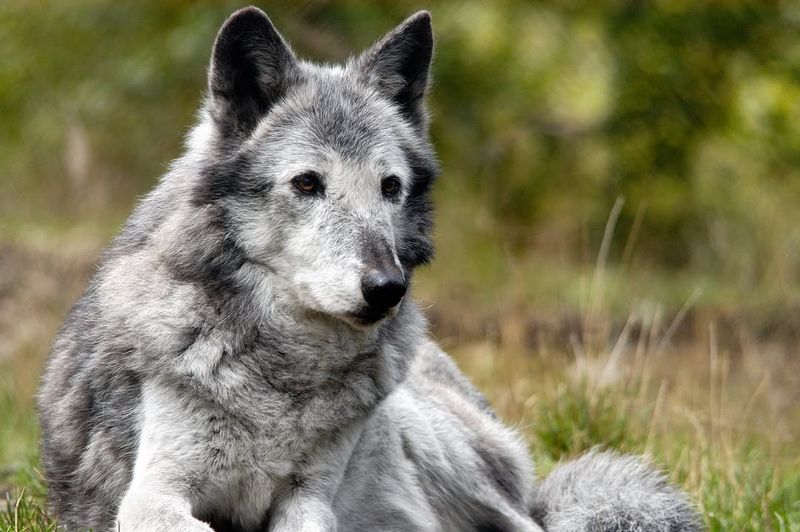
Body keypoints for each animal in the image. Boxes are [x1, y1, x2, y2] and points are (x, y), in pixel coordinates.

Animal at [39, 5, 700, 532]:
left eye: (390, 187)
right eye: (308, 183)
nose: (388, 289)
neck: (286, 376)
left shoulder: (308, 499)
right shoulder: (153, 494)